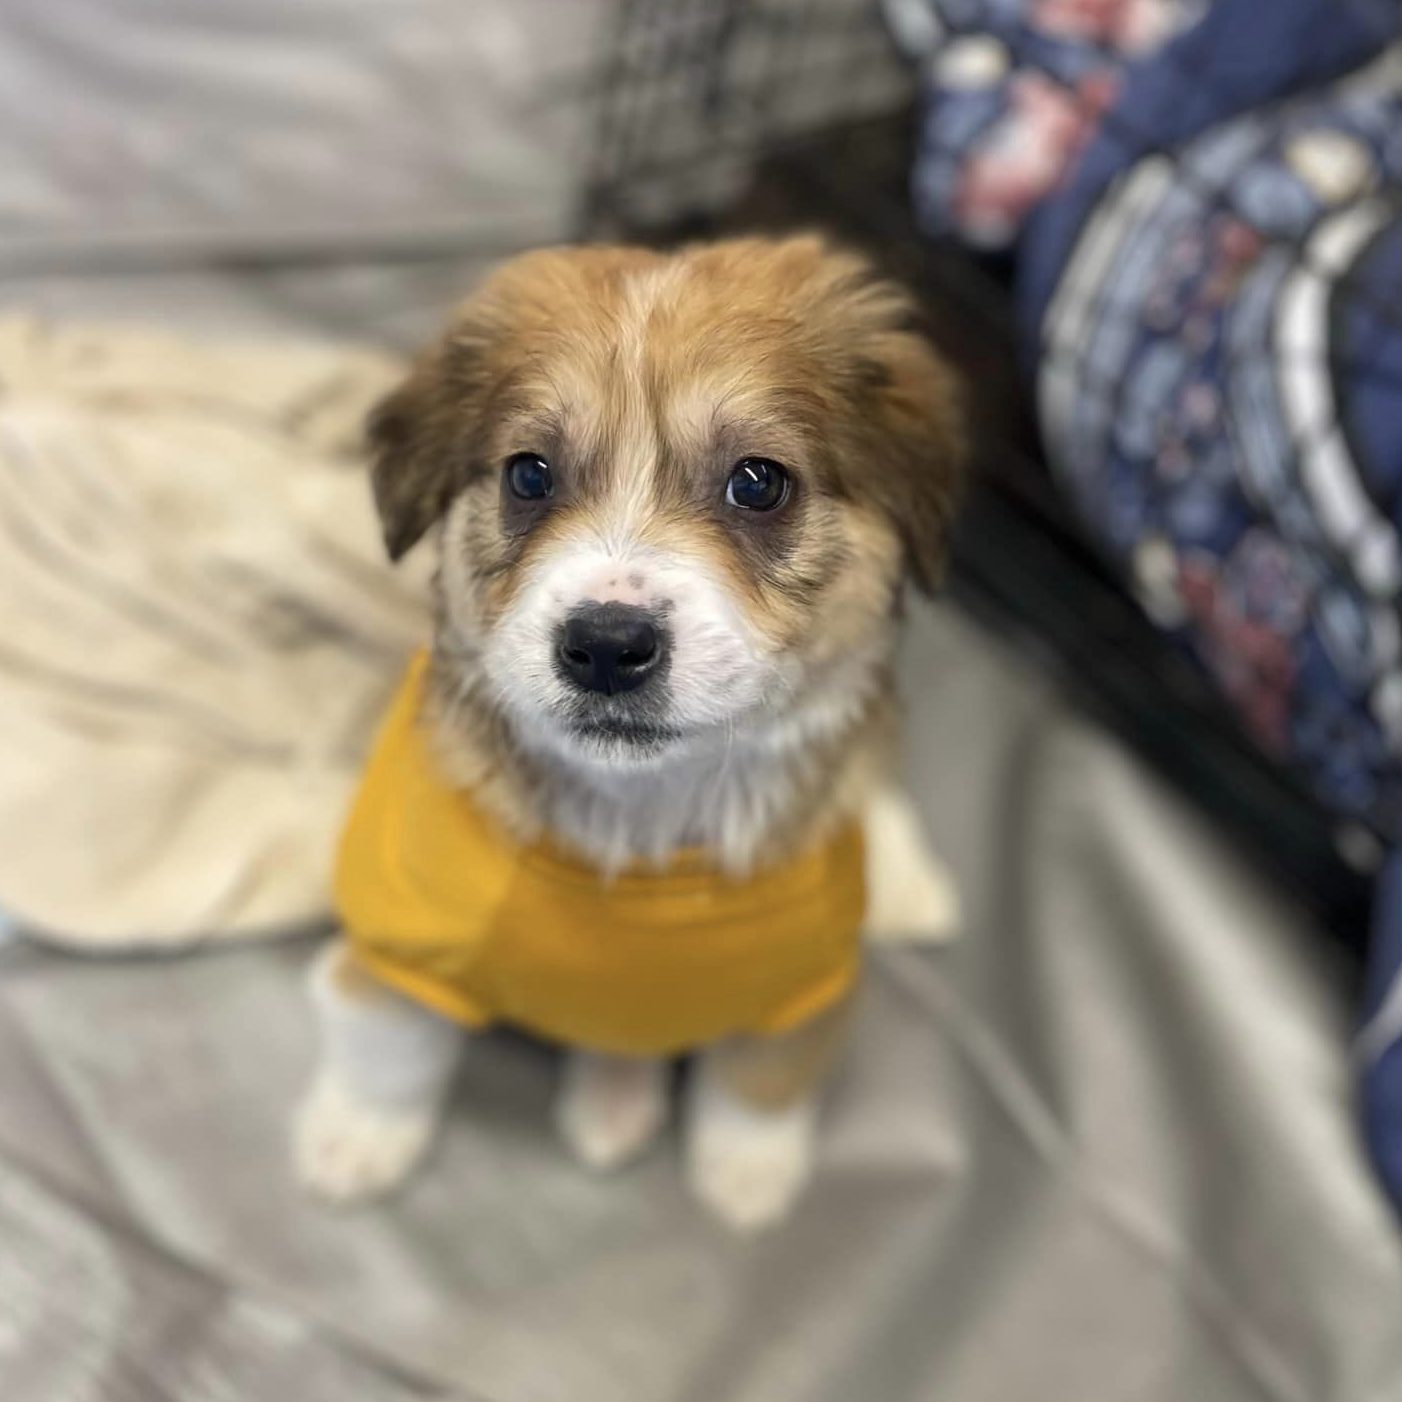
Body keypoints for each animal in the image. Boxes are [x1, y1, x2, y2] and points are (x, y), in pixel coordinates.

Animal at [295, 238, 964, 1228]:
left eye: (758, 483)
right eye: (528, 474)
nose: (607, 647)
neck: (642, 826)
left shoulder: (806, 983)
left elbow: (764, 1076)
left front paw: (747, 1175)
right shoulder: (405, 930)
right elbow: (389, 1035)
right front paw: (355, 1138)